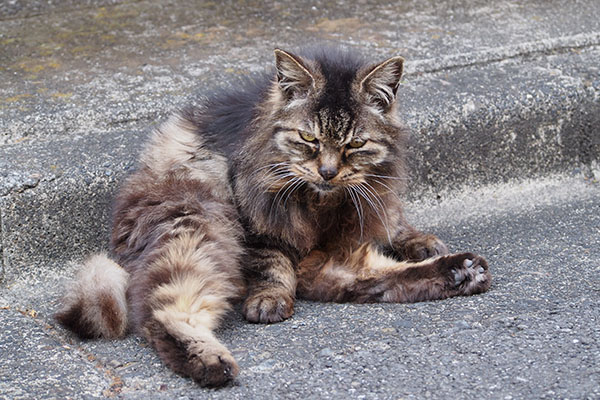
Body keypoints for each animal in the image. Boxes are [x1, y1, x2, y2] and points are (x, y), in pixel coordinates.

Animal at [54, 46, 490, 388]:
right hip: (198, 230)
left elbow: (392, 237)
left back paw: (462, 271)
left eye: (354, 145)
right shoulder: (260, 230)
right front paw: (270, 299)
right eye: (309, 139)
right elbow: (272, 264)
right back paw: (212, 363)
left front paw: (426, 246)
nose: (327, 172)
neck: (322, 206)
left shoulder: (338, 247)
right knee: (161, 314)